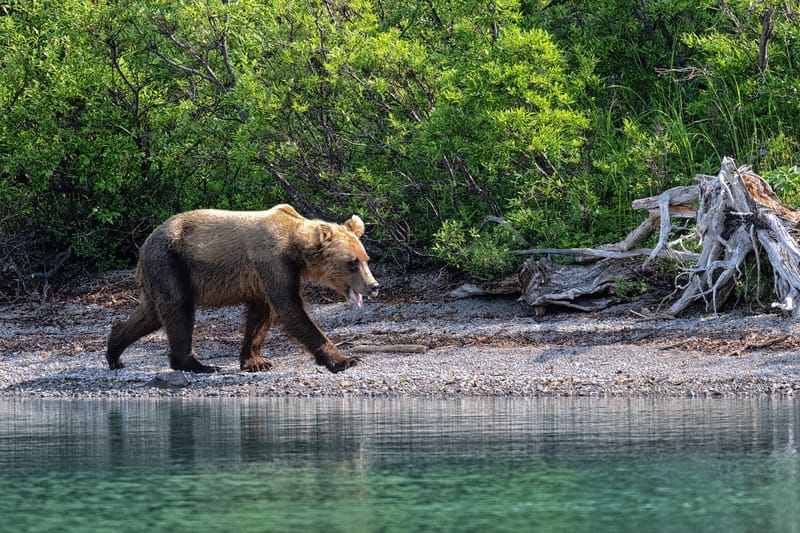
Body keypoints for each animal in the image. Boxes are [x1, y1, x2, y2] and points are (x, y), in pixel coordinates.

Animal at [106, 204, 379, 374]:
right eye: (352, 262)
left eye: (366, 259)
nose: (374, 286)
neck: (294, 248)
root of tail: (145, 243)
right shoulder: (273, 262)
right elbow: (291, 309)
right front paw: (345, 359)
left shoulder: (263, 278)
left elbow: (261, 315)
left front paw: (255, 361)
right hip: (171, 261)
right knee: (178, 309)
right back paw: (197, 364)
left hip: (160, 271)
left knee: (151, 314)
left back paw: (114, 352)